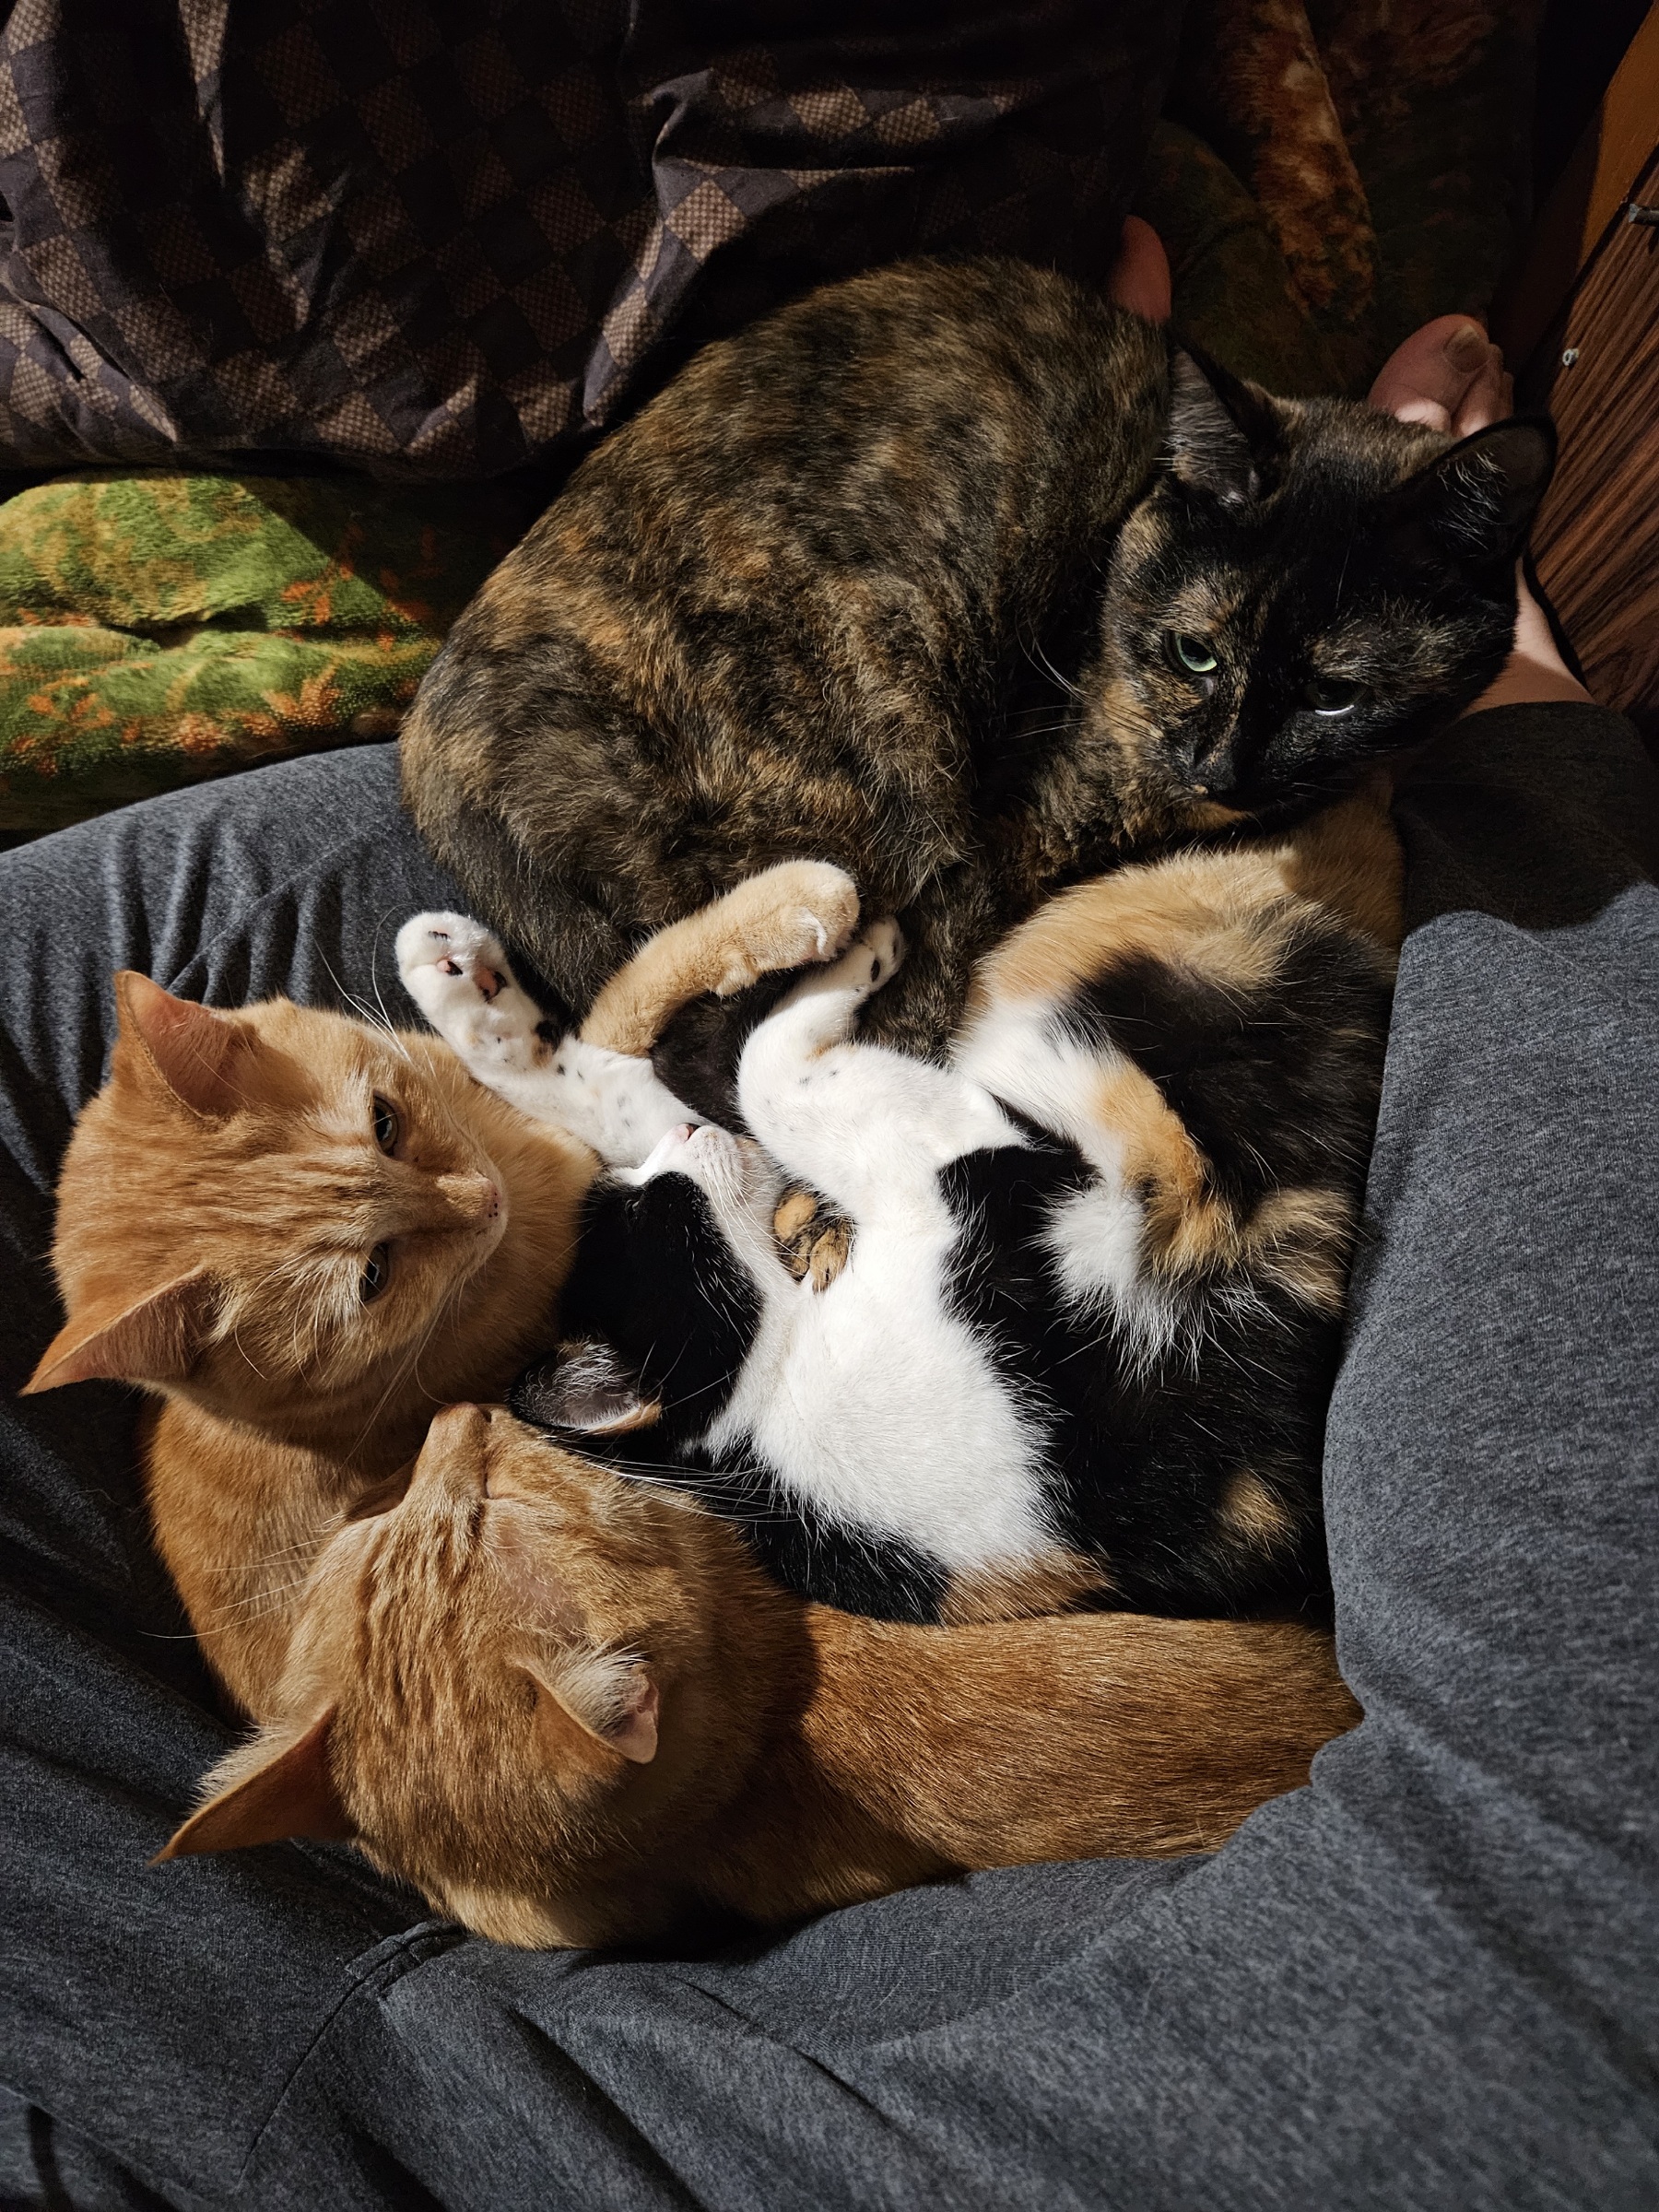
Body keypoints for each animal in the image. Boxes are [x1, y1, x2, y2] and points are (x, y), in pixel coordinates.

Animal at [24, 864, 859, 1708]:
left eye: (384, 1123)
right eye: (373, 1278)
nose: (486, 1202)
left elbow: (592, 1017)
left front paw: (461, 977)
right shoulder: (623, 1181)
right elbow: (608, 1046)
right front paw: (801, 905)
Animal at [399, 253, 1551, 1070]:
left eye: (1335, 694)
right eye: (1197, 652)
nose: (1221, 768)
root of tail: (431, 756)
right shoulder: (1019, 828)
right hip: (886, 706)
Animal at [402, 783, 1402, 1627]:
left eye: (641, 1198)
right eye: (667, 1216)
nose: (679, 1149)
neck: (758, 1427)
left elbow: (630, 1083)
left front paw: (467, 992)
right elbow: (764, 1070)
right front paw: (857, 954)